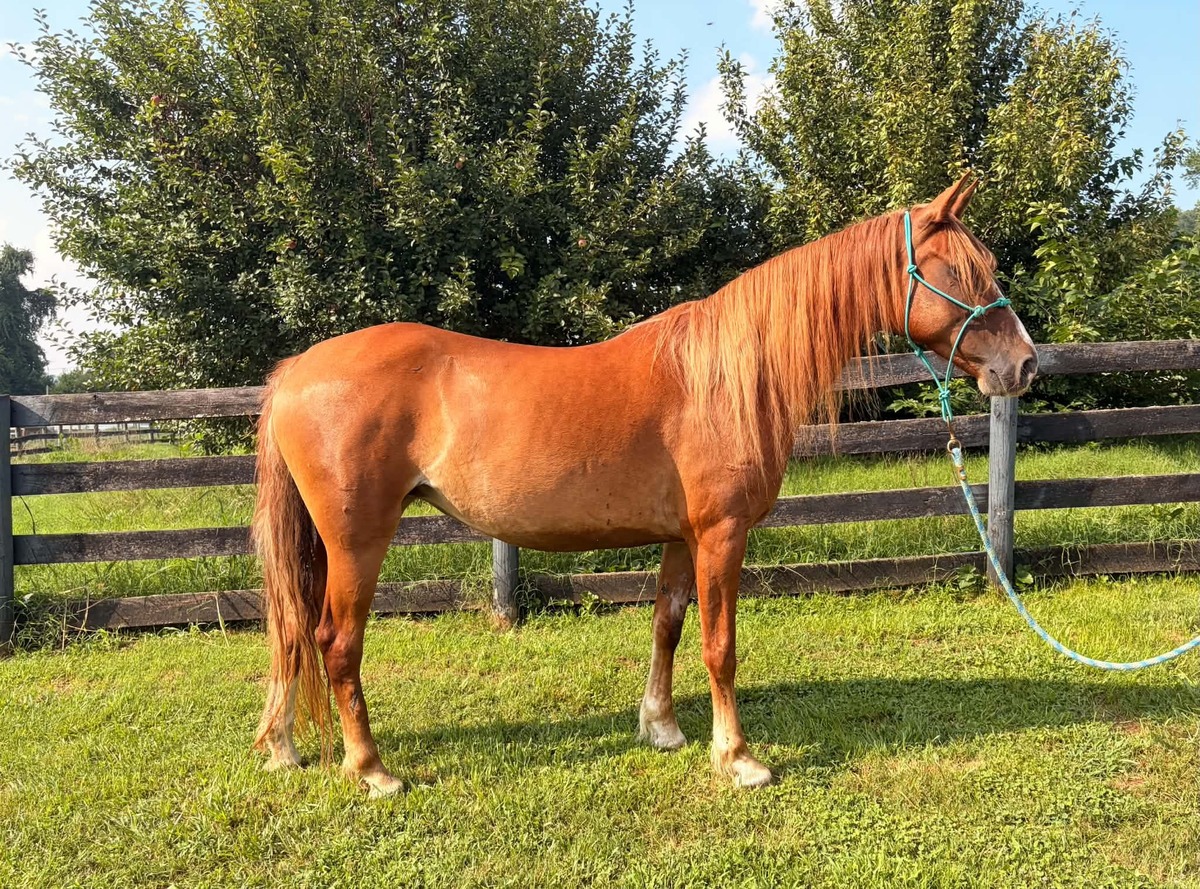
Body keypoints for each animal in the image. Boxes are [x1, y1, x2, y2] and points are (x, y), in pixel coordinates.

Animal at [252, 175, 1038, 796]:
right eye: (960, 271)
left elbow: (668, 625)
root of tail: (294, 371)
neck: (723, 377)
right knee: (334, 641)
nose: (1026, 364)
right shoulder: (722, 533)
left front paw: (661, 727)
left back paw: (282, 746)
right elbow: (720, 644)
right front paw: (739, 757)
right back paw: (371, 768)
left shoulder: (681, 537)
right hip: (358, 541)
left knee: (290, 631)